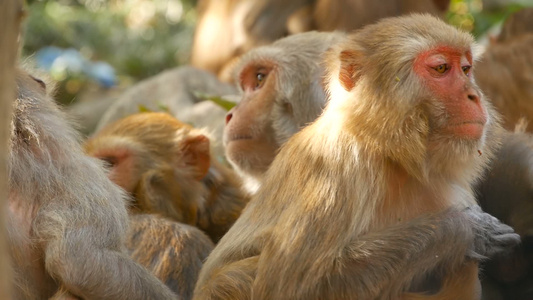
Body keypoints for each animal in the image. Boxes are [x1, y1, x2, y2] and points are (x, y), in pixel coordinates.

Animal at [193, 14, 516, 300]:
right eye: (440, 68)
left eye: (465, 68)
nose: (474, 95)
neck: (392, 153)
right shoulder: (335, 162)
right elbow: (291, 286)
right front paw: (464, 230)